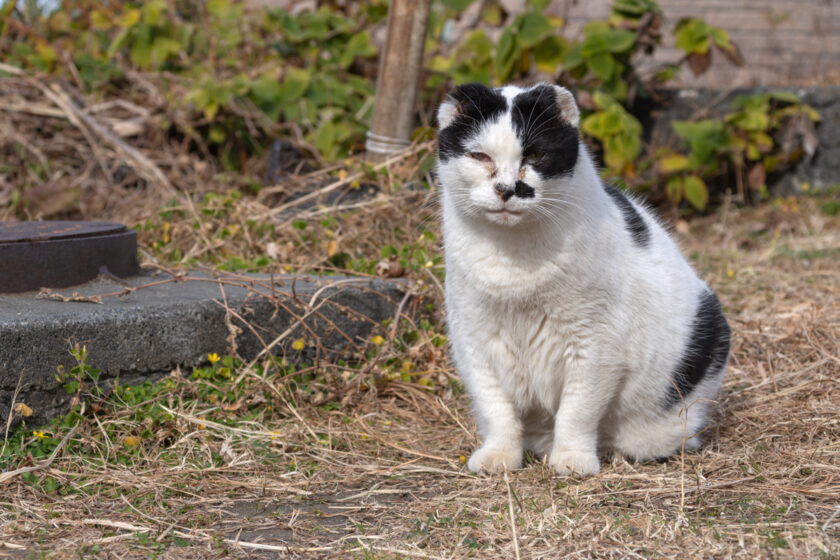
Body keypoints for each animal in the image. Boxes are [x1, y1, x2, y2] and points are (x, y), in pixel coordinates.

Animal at [436, 82, 732, 476]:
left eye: (536, 154)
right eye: (480, 156)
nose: (507, 188)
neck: (515, 263)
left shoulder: (595, 347)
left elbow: (577, 410)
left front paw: (572, 459)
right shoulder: (475, 341)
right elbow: (495, 407)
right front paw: (499, 455)